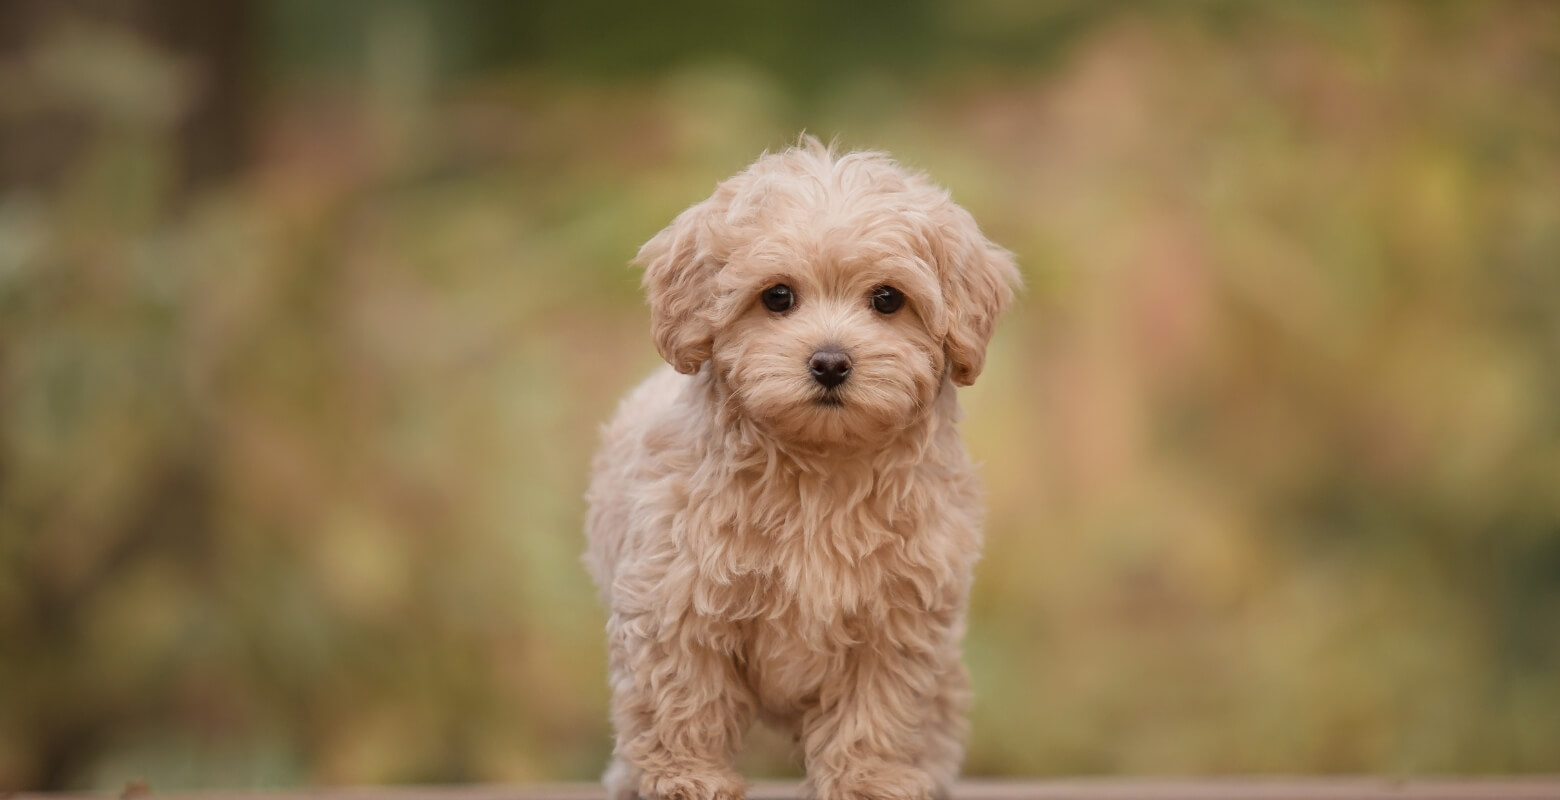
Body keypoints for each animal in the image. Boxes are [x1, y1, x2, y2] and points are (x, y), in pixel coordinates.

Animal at [586, 137, 1023, 798]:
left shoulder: (900, 614)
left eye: (887, 299)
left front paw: (867, 777)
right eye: (778, 296)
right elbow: (681, 694)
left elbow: (879, 705)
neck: (819, 471)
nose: (830, 363)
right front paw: (685, 777)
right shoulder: (673, 598)